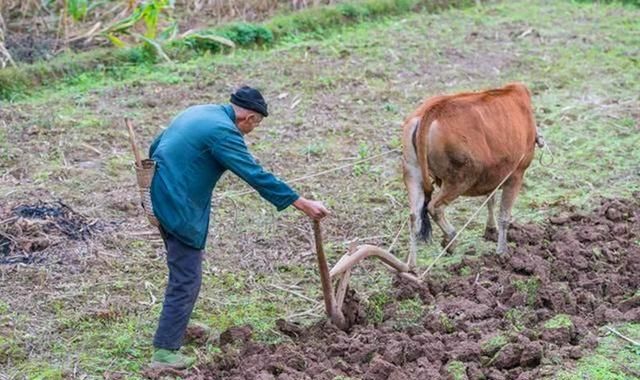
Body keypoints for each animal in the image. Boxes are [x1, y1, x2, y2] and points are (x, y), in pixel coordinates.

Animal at [402, 82, 544, 264]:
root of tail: (432, 110)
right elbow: (504, 216)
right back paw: (451, 239)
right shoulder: (516, 175)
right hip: (459, 179)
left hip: (412, 173)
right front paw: (502, 252)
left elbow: (490, 200)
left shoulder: (495, 173)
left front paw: (491, 230)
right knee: (435, 207)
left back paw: (412, 265)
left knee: (414, 216)